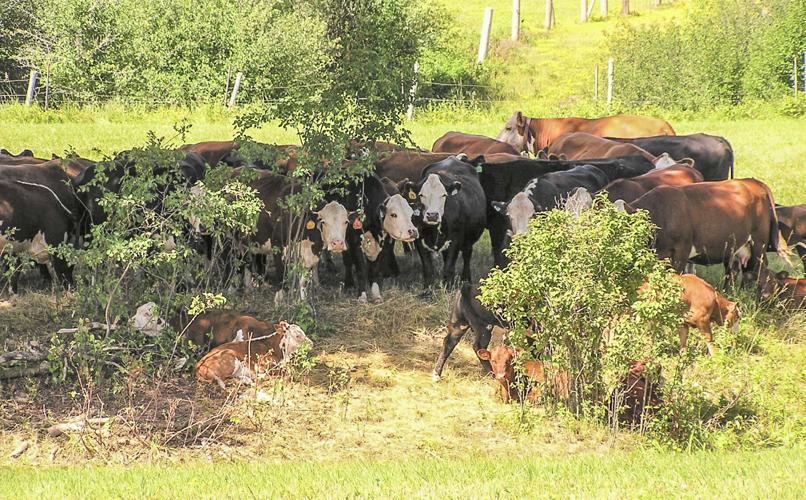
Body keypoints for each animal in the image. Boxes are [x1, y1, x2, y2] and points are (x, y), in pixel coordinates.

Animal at [403, 155, 486, 285]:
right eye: (421, 195)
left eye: (444, 195)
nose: (432, 215)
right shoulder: (419, 239)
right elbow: (427, 267)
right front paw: (428, 287)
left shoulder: (455, 240)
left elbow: (449, 266)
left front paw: (448, 286)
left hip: (468, 239)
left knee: (467, 255)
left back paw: (466, 279)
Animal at [628, 179, 784, 286]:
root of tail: (751, 181)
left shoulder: (680, 252)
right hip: (736, 247)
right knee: (736, 270)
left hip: (758, 244)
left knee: (758, 269)